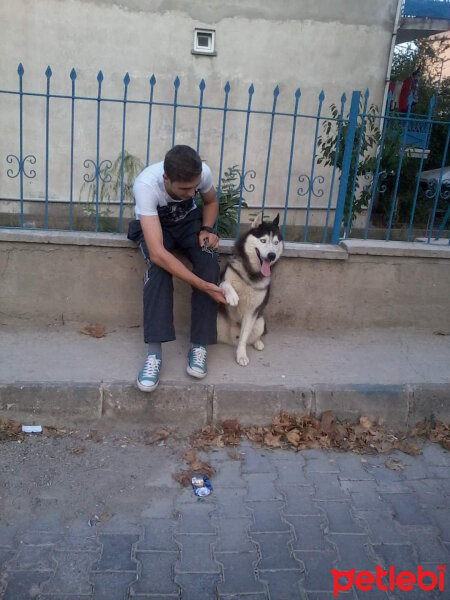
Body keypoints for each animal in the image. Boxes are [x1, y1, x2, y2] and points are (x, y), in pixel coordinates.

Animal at [216, 213, 284, 368]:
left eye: (276, 242)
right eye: (263, 240)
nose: (271, 255)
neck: (251, 274)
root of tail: (230, 340)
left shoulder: (252, 312)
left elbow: (244, 337)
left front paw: (241, 355)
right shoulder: (220, 282)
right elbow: (226, 284)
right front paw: (232, 296)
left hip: (260, 321)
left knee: (252, 337)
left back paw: (258, 343)